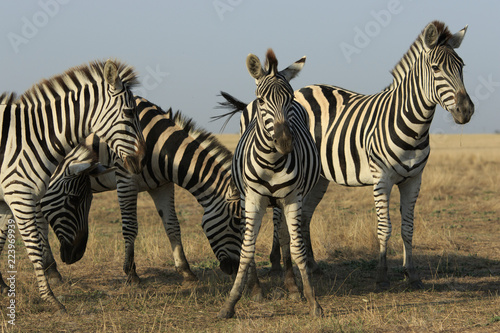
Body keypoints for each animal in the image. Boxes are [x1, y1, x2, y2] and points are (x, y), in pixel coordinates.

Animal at [0, 60, 146, 312]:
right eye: (129, 113)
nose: (142, 160)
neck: (30, 140)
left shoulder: (6, 201)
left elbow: (0, 242)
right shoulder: (20, 197)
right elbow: (34, 247)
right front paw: (50, 298)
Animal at [29, 95, 244, 286]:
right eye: (236, 221)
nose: (235, 268)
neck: (159, 147)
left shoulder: (162, 186)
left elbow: (172, 226)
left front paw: (185, 271)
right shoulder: (126, 178)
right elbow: (130, 226)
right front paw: (131, 274)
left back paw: (51, 270)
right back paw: (52, 271)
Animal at [214, 21, 472, 290]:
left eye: (462, 66)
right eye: (436, 68)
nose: (466, 110)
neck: (412, 125)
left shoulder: (414, 179)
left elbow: (408, 228)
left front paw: (411, 274)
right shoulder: (382, 178)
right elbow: (384, 228)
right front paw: (382, 276)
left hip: (317, 177)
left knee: (304, 217)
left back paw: (312, 266)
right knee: (278, 217)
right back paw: (277, 264)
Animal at [217, 49, 322, 320]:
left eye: (290, 99)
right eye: (262, 100)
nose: (285, 143)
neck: (273, 162)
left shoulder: (292, 198)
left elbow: (296, 248)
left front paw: (312, 300)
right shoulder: (253, 199)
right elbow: (247, 249)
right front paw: (232, 302)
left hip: (282, 202)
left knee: (284, 236)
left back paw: (292, 286)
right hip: (248, 199)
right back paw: (256, 289)